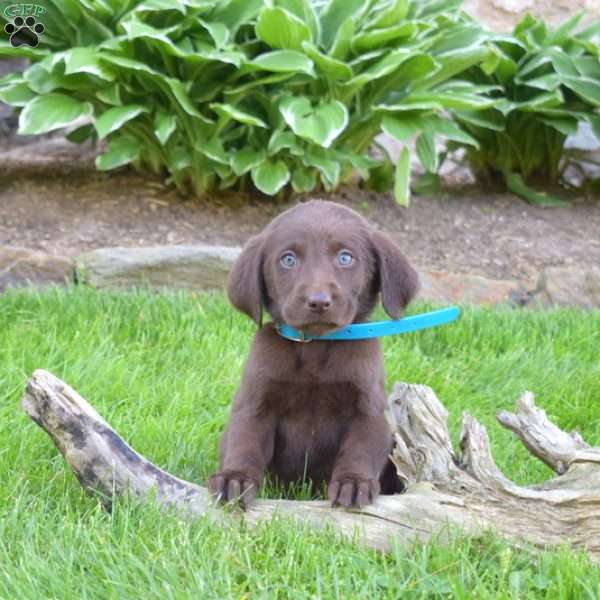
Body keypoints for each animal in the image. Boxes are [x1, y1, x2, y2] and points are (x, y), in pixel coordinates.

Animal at [209, 200, 420, 506]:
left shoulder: (367, 409)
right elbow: (244, 442)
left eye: (345, 258)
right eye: (288, 260)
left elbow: (360, 449)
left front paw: (353, 483)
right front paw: (234, 478)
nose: (318, 302)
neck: (315, 348)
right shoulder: (255, 403)